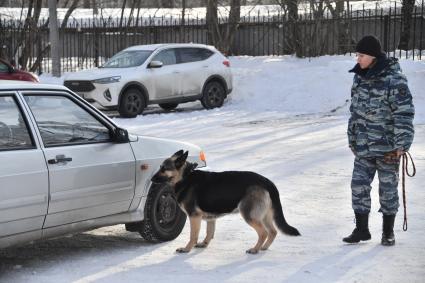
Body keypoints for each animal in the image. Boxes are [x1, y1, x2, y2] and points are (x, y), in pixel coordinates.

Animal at [151, 151, 300, 255]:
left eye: (164, 169)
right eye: (160, 167)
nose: (151, 179)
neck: (185, 176)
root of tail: (267, 182)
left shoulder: (194, 217)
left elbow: (193, 236)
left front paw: (187, 249)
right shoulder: (210, 218)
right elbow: (209, 232)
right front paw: (204, 244)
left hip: (249, 215)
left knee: (263, 233)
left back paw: (254, 249)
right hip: (265, 215)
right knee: (273, 231)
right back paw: (263, 247)